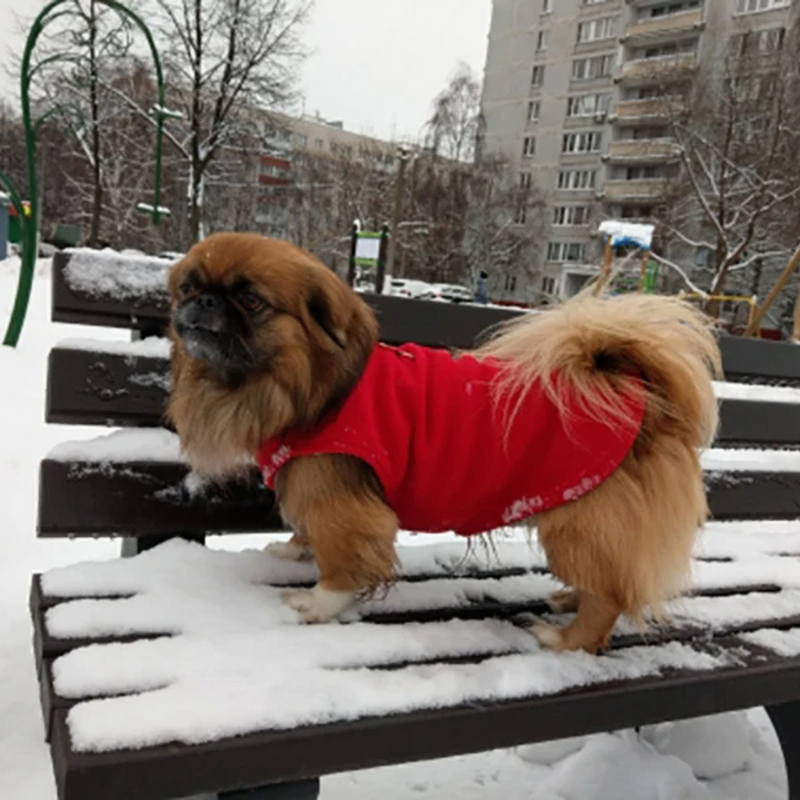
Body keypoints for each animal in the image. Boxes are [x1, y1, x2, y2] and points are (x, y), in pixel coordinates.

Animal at [166, 231, 720, 648]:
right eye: (188, 287)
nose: (203, 300)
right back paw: (569, 598)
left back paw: (563, 638)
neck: (312, 387)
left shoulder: (339, 503)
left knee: (609, 600)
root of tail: (645, 400)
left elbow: (342, 562)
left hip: (578, 526)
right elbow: (307, 532)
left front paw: (317, 605)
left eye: (251, 300)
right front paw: (292, 550)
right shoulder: (311, 487)